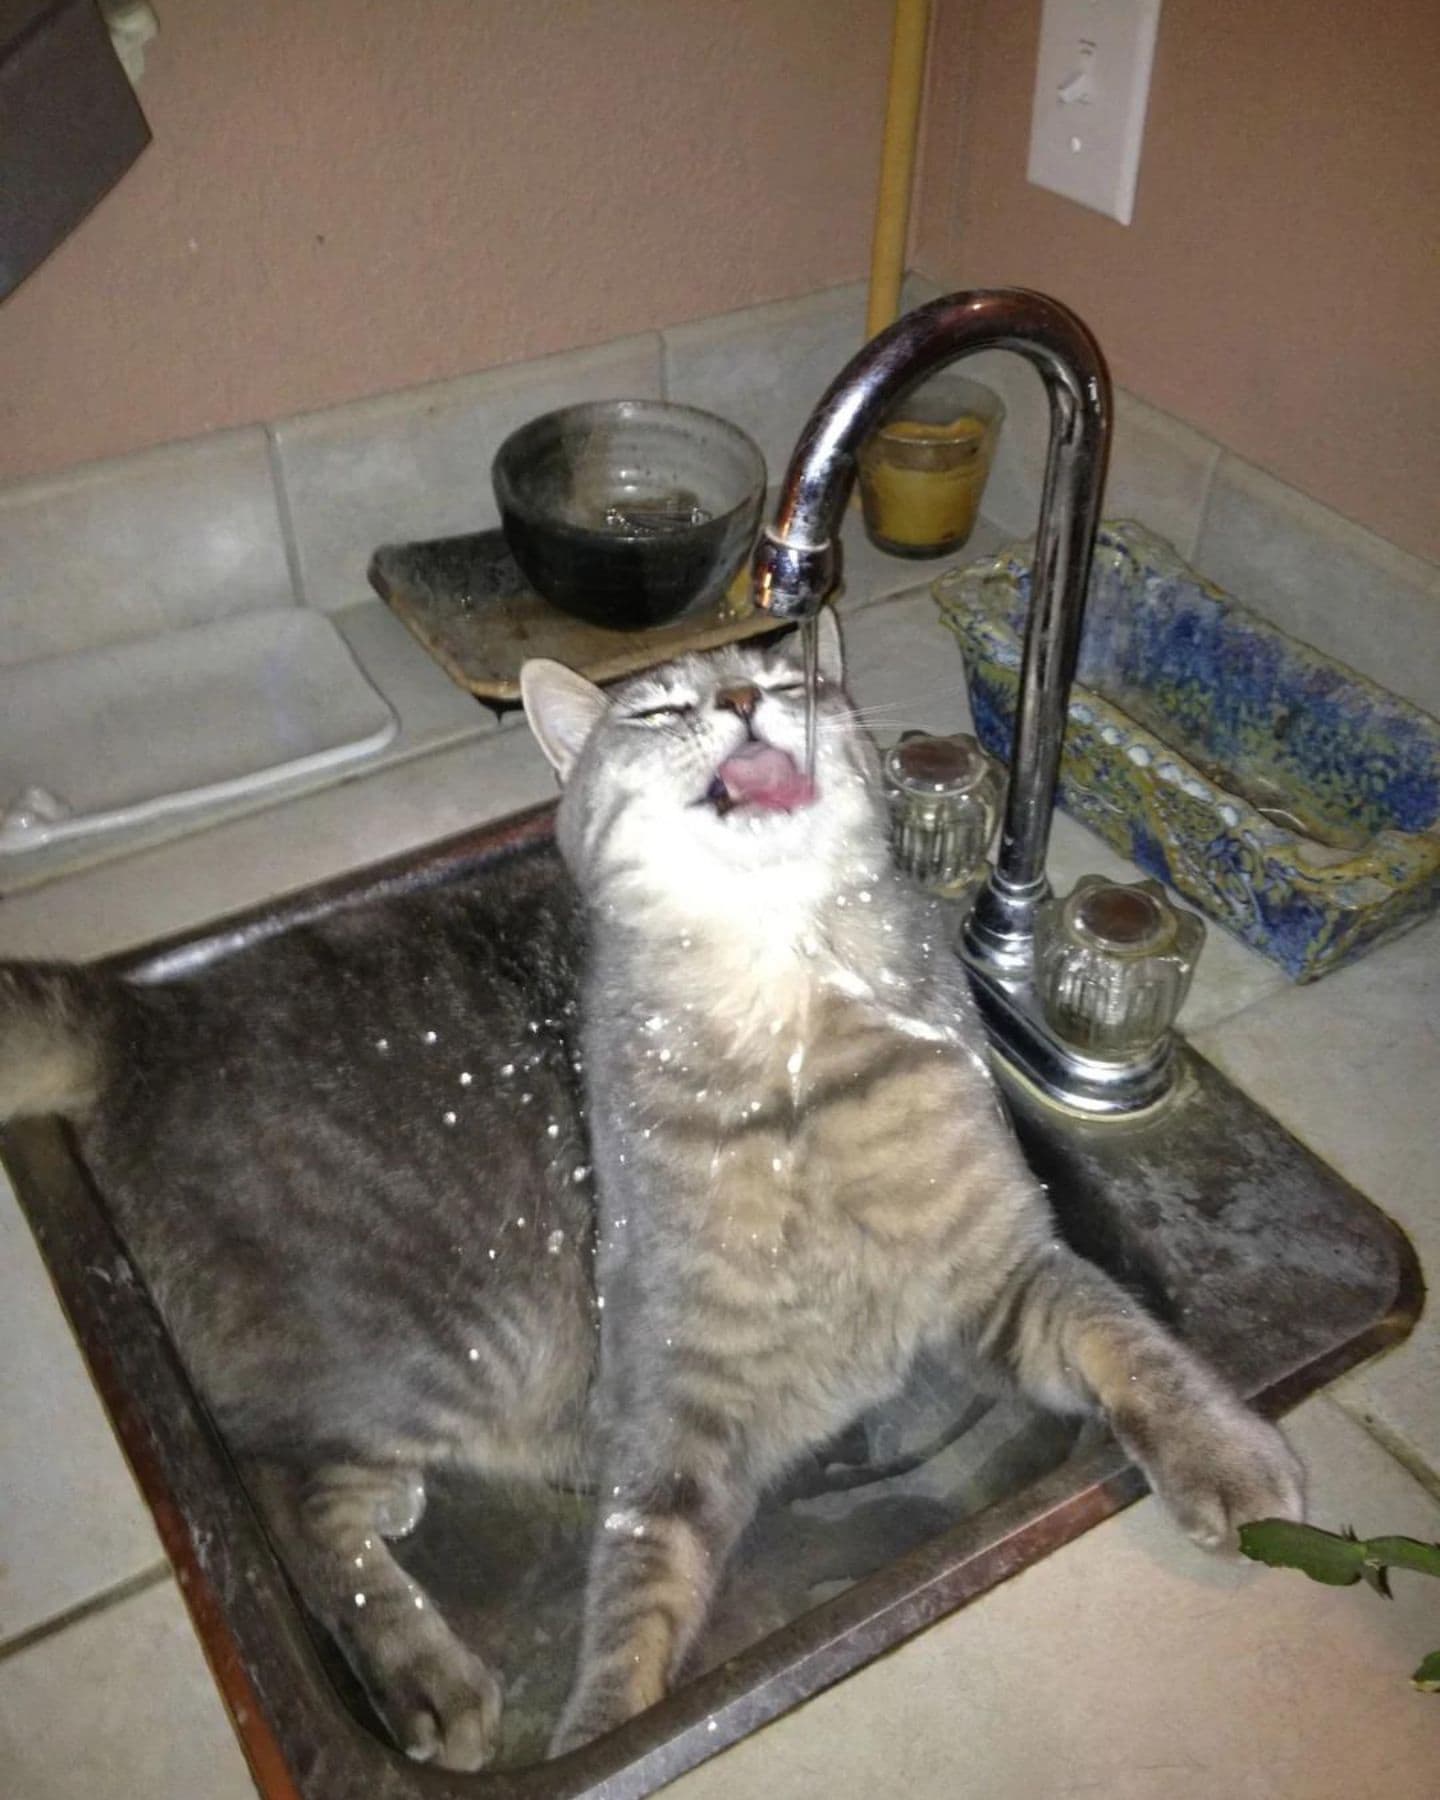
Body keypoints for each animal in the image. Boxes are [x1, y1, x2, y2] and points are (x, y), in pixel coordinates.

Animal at [0, 612, 1303, 1764]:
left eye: (786, 681)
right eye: (659, 709)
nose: (737, 697)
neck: (786, 1021)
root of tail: (145, 1015)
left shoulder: (1009, 1268)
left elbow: (1129, 1342)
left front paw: (1227, 1454)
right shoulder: (674, 1415)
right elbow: (632, 1607)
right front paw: (595, 1735)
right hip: (440, 1337)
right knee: (284, 1499)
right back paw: (421, 1669)